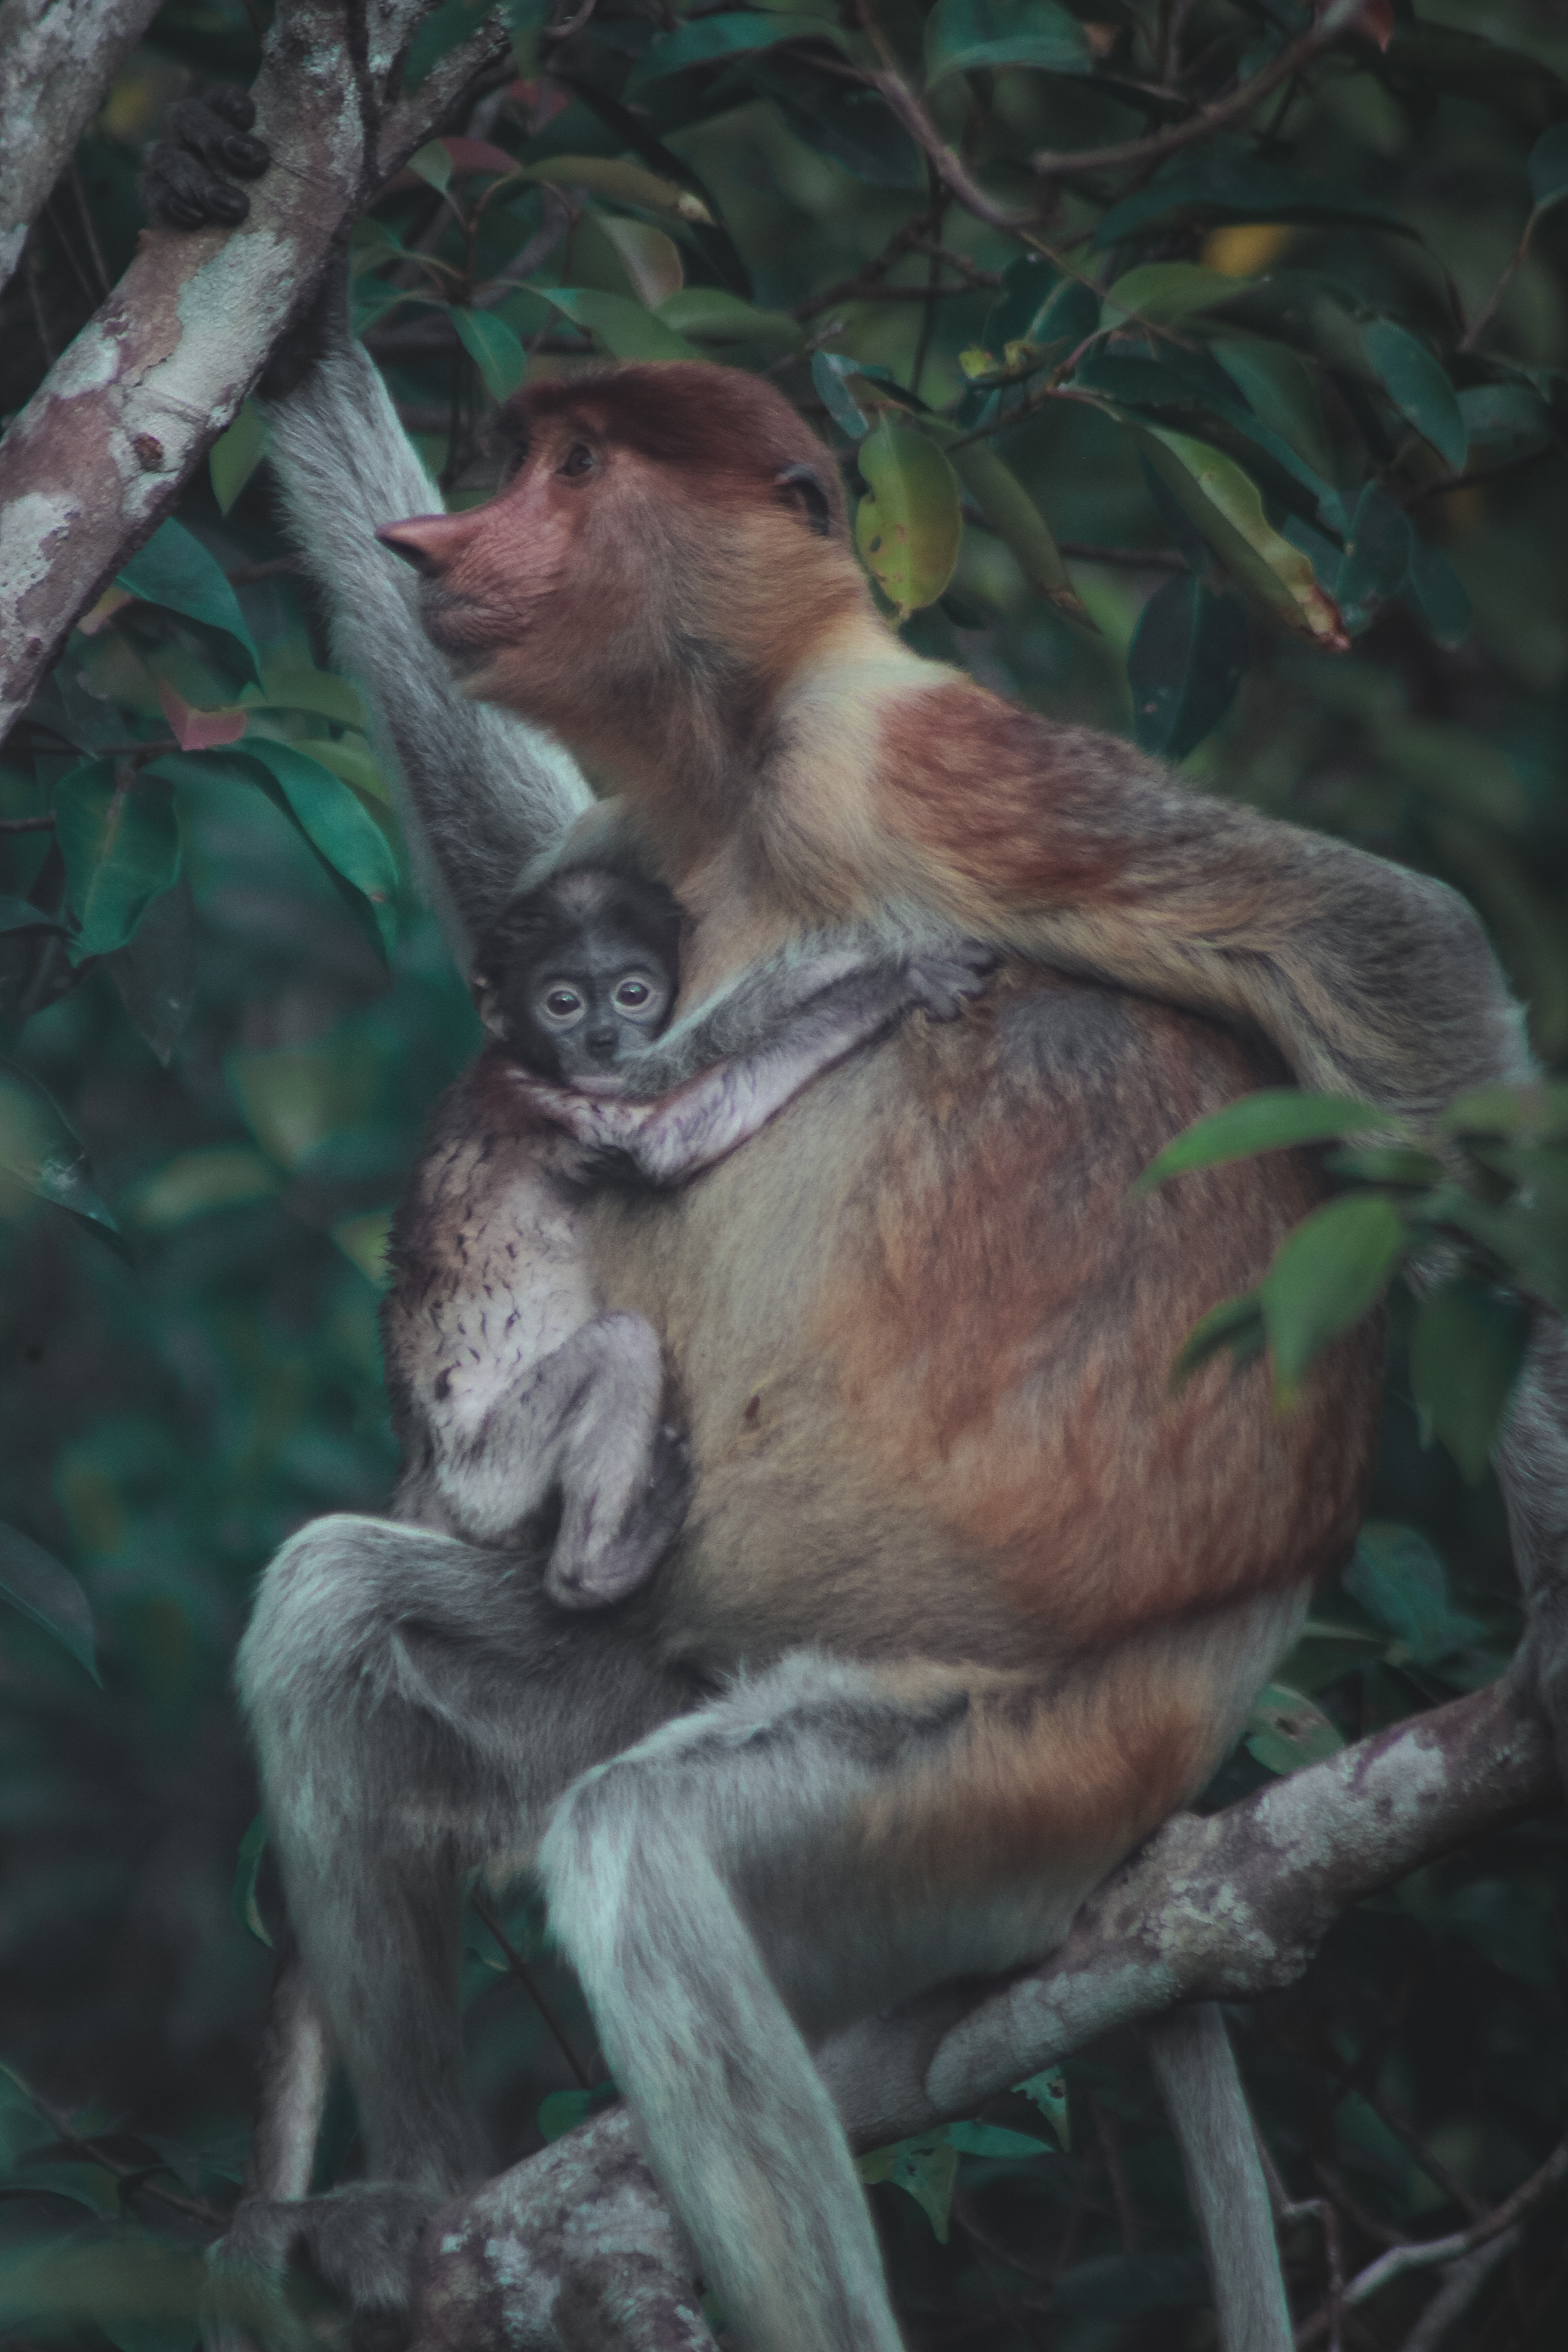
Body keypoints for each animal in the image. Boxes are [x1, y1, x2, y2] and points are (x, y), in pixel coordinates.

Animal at [384, 861, 998, 1609]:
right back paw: (593, 1568)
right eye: (562, 1004)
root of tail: (424, 1474)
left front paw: (851, 957)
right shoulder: (545, 1102)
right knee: (620, 1344)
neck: (517, 1061)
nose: (603, 1041)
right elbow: (670, 1137)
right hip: (490, 1477)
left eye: (633, 994)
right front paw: (893, 979)